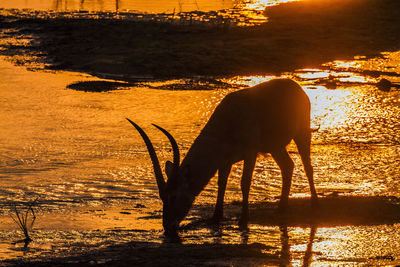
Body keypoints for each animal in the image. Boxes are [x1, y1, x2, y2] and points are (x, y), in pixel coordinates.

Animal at [127, 79, 318, 237]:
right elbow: (222, 183)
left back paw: (313, 202)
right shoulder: (225, 161)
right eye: (162, 196)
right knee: (288, 166)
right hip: (275, 147)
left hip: (301, 133)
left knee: (307, 166)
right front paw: (216, 217)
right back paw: (281, 208)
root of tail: (296, 86)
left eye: (173, 196)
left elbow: (244, 182)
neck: (226, 122)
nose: (167, 226)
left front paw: (243, 219)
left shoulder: (250, 153)